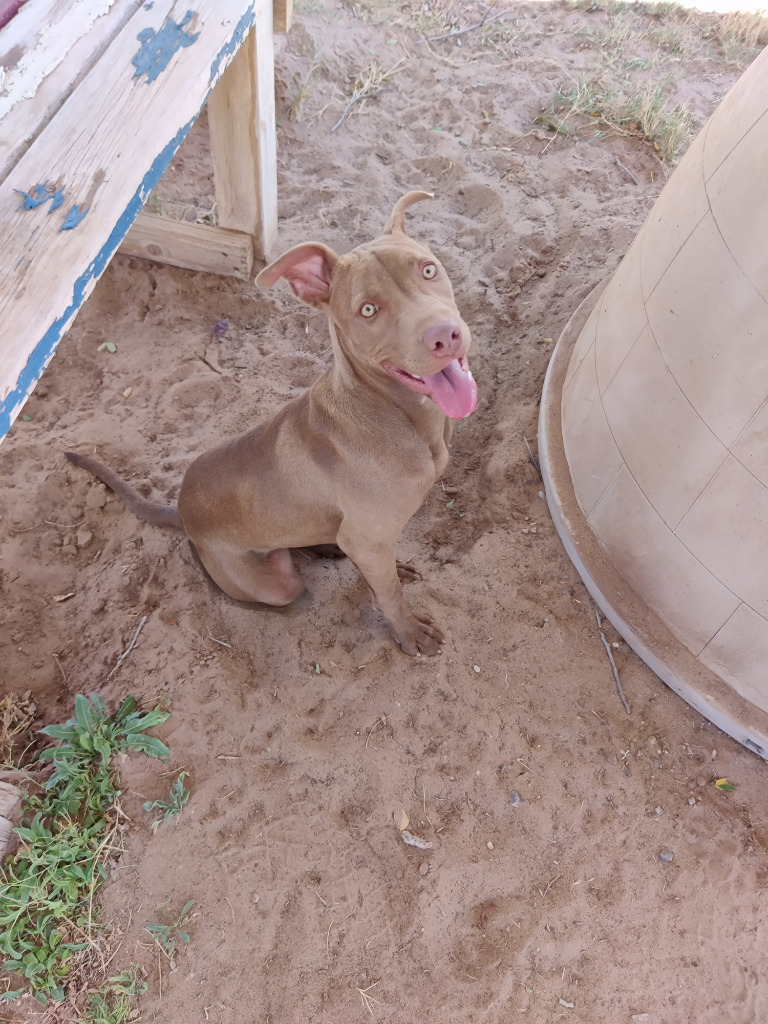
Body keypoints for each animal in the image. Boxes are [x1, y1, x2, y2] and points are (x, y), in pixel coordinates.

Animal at [66, 192, 479, 655]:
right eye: (368, 310)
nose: (445, 336)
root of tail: (183, 510)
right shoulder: (369, 539)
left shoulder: (366, 541)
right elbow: (388, 592)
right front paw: (409, 634)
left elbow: (378, 578)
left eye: (428, 269)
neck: (397, 412)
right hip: (276, 584)